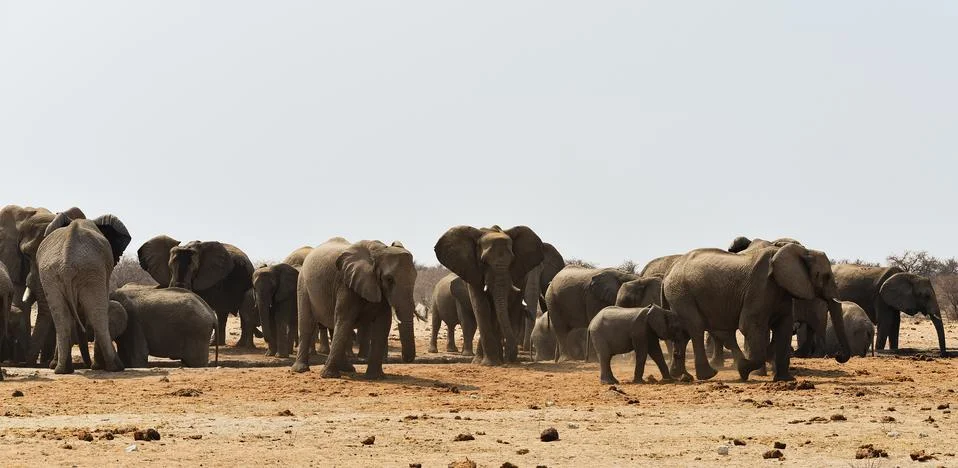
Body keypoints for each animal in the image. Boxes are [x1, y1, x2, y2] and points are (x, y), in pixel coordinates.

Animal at [36, 212, 131, 374]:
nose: (87, 365)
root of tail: (66, 264)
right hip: (91, 272)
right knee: (97, 315)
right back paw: (116, 367)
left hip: (51, 275)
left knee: (61, 318)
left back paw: (62, 370)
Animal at [292, 238, 417, 378]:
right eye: (389, 279)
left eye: (415, 277)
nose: (406, 359)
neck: (379, 252)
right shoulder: (346, 283)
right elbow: (345, 319)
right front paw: (328, 376)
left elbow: (383, 323)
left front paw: (376, 377)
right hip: (303, 285)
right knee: (308, 324)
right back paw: (301, 370)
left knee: (336, 327)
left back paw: (347, 369)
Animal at [434, 225, 545, 365]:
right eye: (483, 262)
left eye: (512, 261)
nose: (511, 359)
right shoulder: (472, 271)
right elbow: (481, 307)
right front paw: (489, 363)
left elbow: (506, 309)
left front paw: (500, 361)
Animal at [662, 244, 852, 381]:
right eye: (825, 276)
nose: (838, 355)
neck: (803, 251)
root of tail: (668, 273)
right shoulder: (760, 287)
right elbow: (749, 325)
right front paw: (743, 369)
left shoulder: (781, 289)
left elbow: (784, 327)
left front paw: (785, 380)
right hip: (682, 293)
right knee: (695, 327)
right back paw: (708, 375)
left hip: (679, 295)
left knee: (683, 332)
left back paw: (681, 376)